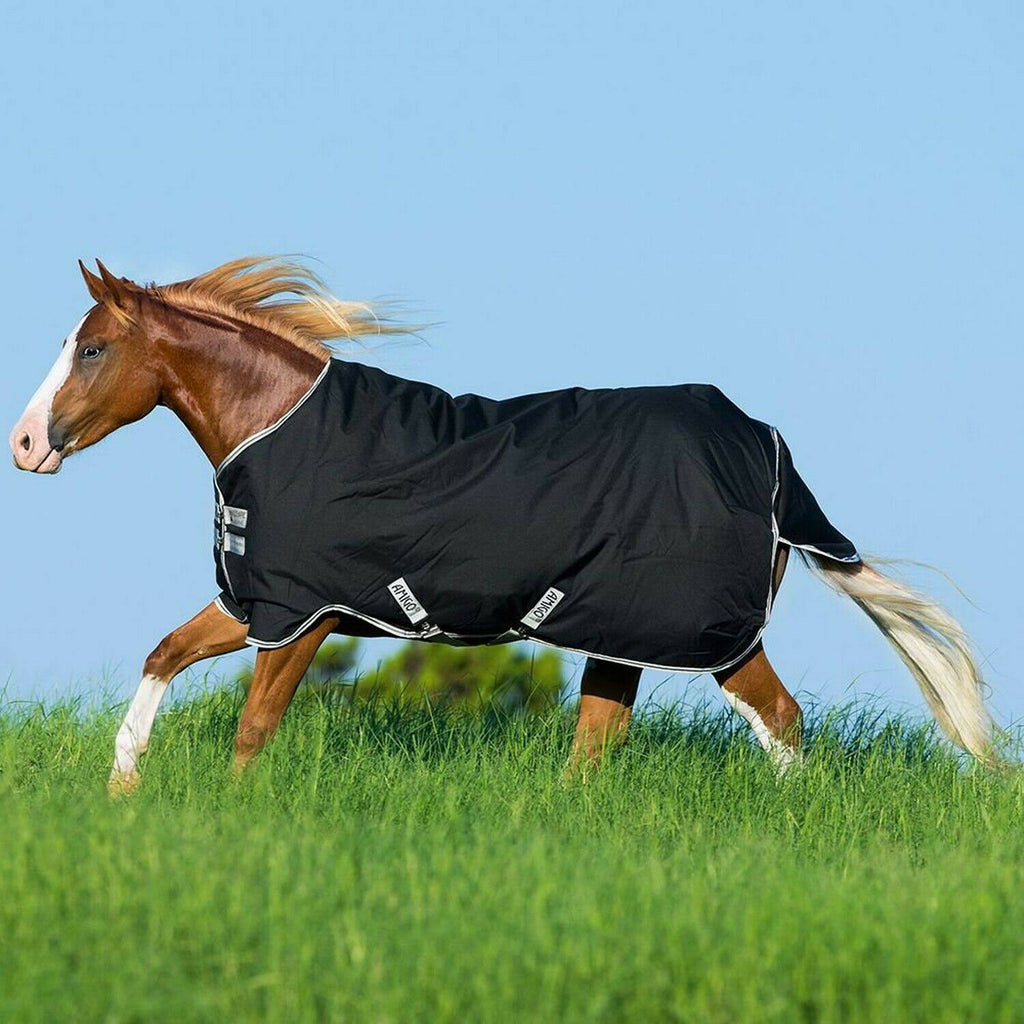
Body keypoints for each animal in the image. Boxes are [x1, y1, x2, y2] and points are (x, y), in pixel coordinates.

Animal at [9, 257, 995, 793]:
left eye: (92, 348)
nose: (23, 444)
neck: (279, 427)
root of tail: (766, 448)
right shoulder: (258, 604)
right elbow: (162, 655)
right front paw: (123, 789)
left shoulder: (304, 614)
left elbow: (255, 726)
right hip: (616, 630)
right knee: (596, 747)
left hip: (707, 632)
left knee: (780, 721)